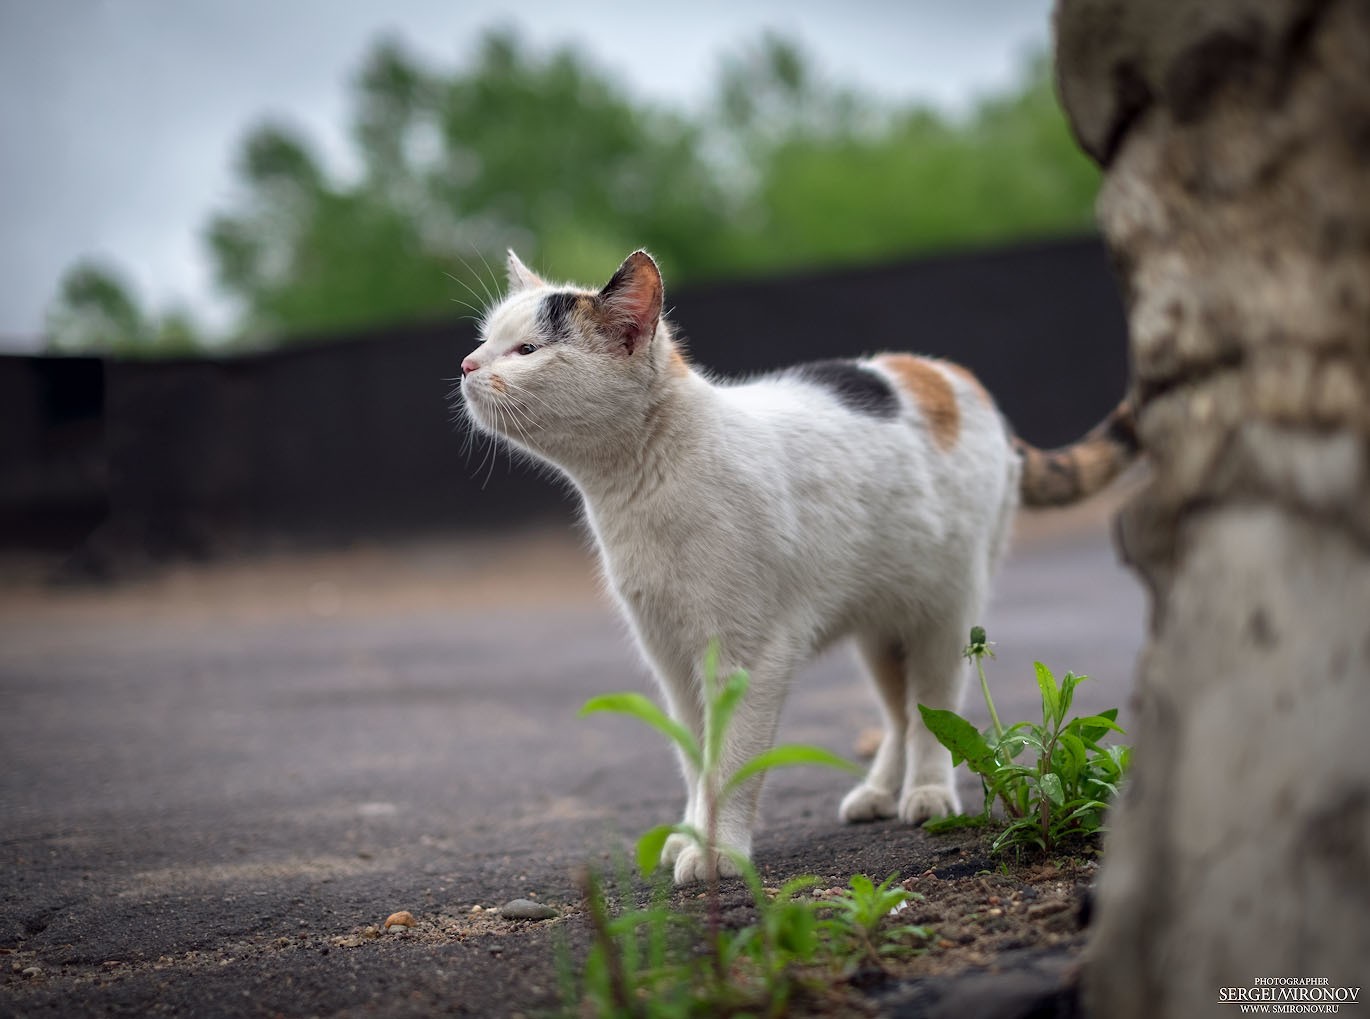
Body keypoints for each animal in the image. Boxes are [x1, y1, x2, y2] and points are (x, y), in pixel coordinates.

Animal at [460, 249, 1134, 882]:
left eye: (525, 349)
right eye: (484, 339)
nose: (467, 365)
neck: (638, 487)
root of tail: (947, 371)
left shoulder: (748, 657)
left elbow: (731, 763)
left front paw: (718, 852)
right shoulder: (670, 658)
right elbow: (694, 758)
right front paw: (689, 834)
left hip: (945, 612)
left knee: (935, 709)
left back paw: (926, 794)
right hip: (880, 628)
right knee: (902, 712)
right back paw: (877, 793)